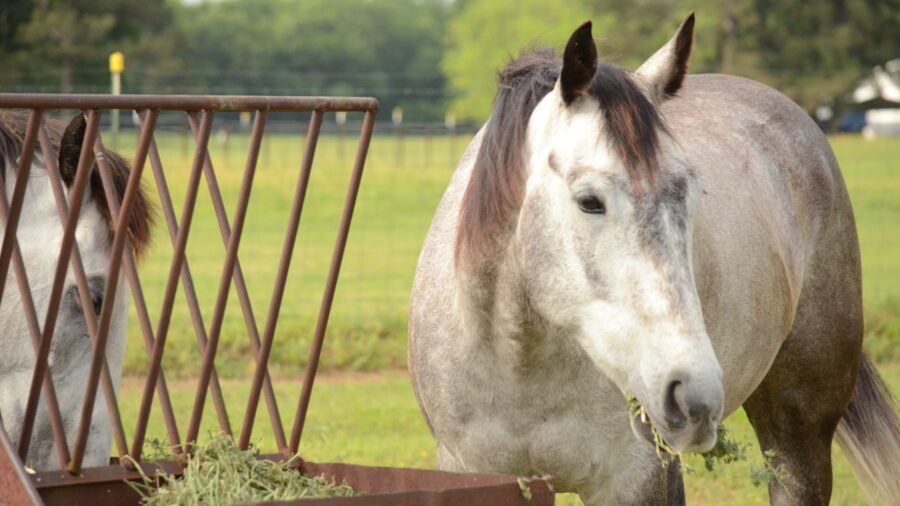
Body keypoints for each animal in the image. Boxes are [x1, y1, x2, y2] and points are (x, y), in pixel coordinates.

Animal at [409, 14, 900, 505]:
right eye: (589, 202)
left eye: (691, 194)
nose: (693, 395)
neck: (516, 364)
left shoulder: (637, 478)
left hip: (799, 426)